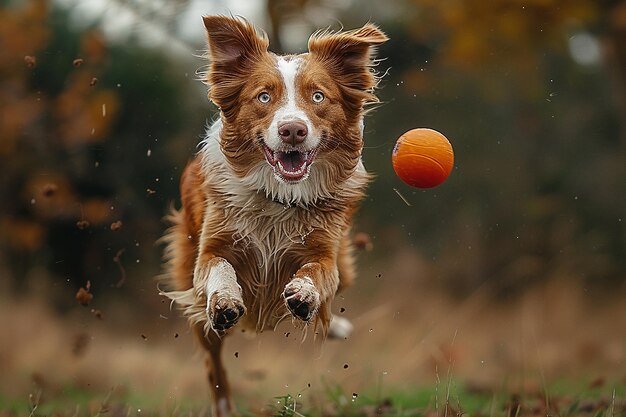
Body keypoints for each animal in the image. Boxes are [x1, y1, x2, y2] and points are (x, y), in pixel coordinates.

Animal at [160, 15, 386, 416]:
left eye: (318, 96)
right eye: (263, 96)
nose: (292, 130)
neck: (279, 198)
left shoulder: (326, 254)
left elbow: (315, 275)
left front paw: (304, 293)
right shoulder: (209, 250)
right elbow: (219, 267)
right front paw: (226, 299)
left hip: (345, 263)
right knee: (214, 367)